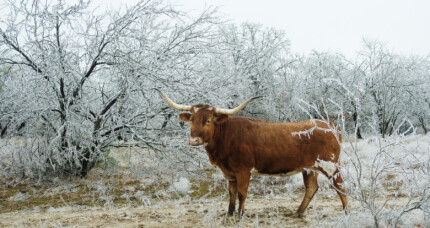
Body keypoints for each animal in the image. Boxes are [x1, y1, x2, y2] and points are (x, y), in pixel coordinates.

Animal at [156, 89, 348, 217]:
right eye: (191, 121)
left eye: (208, 120)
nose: (194, 140)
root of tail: (329, 124)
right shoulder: (229, 173)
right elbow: (232, 193)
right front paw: (230, 214)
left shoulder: (243, 170)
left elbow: (242, 193)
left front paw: (240, 215)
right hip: (309, 168)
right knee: (311, 188)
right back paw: (298, 213)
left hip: (330, 165)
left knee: (340, 186)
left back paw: (346, 212)